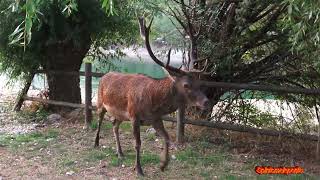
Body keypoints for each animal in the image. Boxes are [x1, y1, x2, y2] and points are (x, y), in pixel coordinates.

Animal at [94, 17, 210, 176]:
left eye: (199, 82)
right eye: (186, 85)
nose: (206, 101)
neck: (154, 103)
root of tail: (104, 75)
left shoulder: (155, 119)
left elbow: (167, 138)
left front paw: (163, 165)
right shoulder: (134, 116)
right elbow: (138, 144)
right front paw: (139, 169)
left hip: (120, 114)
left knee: (114, 125)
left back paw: (120, 152)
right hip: (101, 103)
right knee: (99, 120)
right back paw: (96, 143)